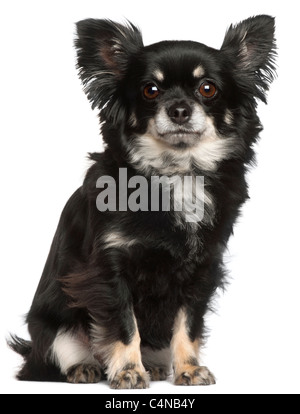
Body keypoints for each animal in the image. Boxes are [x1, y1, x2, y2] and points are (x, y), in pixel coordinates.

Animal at [9, 13, 276, 388]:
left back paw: (155, 365)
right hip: (53, 326)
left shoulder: (202, 268)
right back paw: (85, 367)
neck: (177, 173)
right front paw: (128, 371)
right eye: (151, 90)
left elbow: (187, 325)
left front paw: (188, 368)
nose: (179, 109)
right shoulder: (109, 270)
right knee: (55, 355)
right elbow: (124, 326)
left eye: (207, 89)